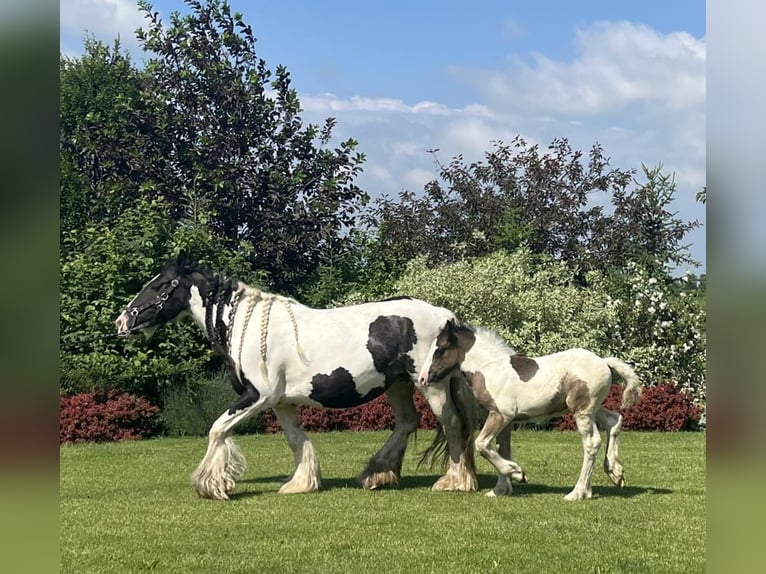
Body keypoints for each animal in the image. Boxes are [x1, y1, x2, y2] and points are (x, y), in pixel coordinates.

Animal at [116, 254, 476, 502]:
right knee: (407, 422)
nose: (122, 321)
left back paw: (453, 481)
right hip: (399, 385)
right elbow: (296, 440)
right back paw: (376, 474)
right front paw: (300, 484)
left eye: (160, 285)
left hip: (431, 386)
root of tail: (446, 316)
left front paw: (212, 485)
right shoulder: (281, 403)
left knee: (452, 425)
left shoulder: (257, 397)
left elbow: (217, 429)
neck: (247, 327)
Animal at [420, 322, 640, 502]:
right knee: (614, 420)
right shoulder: (506, 422)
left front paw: (517, 472)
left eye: (440, 349)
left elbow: (482, 444)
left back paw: (578, 493)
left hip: (582, 411)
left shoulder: (501, 414)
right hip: (592, 409)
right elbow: (500, 448)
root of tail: (604, 361)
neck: (491, 368)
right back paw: (615, 472)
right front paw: (500, 490)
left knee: (592, 443)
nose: (423, 378)